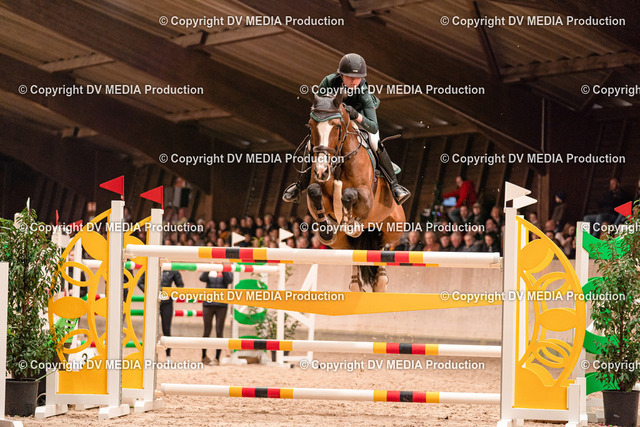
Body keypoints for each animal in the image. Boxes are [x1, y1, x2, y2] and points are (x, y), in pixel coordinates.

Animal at [305, 92, 406, 292]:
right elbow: (314, 191)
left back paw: (380, 281)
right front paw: (327, 229)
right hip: (340, 243)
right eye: (311, 126)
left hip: (394, 226)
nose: (321, 170)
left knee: (381, 245)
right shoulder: (316, 193)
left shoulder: (367, 198)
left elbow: (349, 195)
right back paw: (355, 284)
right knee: (355, 253)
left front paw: (350, 221)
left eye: (337, 127)